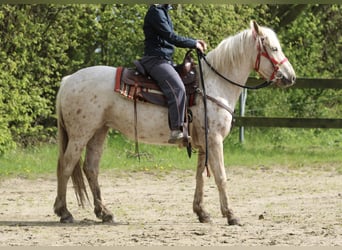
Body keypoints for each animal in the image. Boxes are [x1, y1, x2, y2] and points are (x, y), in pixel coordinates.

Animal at [54, 20, 296, 226]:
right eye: (274, 48)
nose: (291, 77)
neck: (213, 85)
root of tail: (68, 80)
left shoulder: (203, 144)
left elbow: (200, 176)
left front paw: (202, 212)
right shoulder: (215, 140)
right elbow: (221, 177)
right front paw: (231, 215)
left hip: (99, 132)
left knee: (90, 168)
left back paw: (104, 213)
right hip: (80, 134)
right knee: (66, 165)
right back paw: (64, 212)